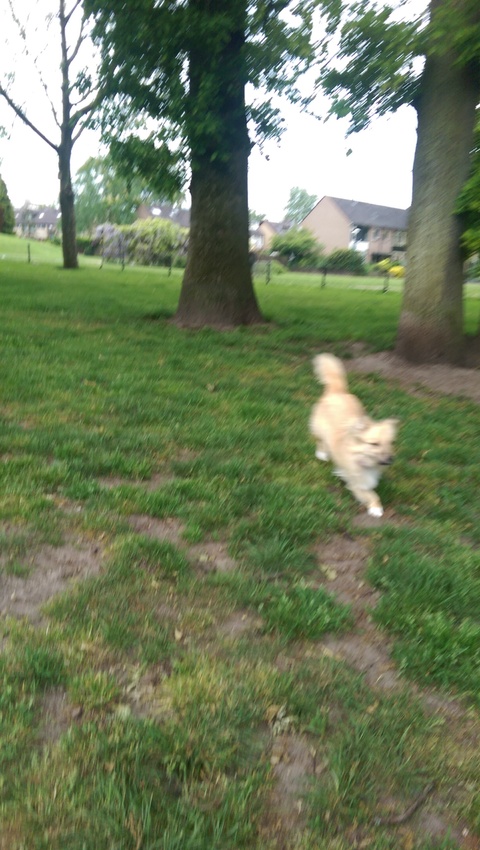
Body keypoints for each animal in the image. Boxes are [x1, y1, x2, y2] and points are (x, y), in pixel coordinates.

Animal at [309, 353, 399, 517]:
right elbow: (371, 494)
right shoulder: (356, 482)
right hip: (319, 429)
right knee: (320, 440)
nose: (390, 459)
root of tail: (338, 390)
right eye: (374, 444)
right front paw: (376, 508)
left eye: (391, 443)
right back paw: (322, 454)